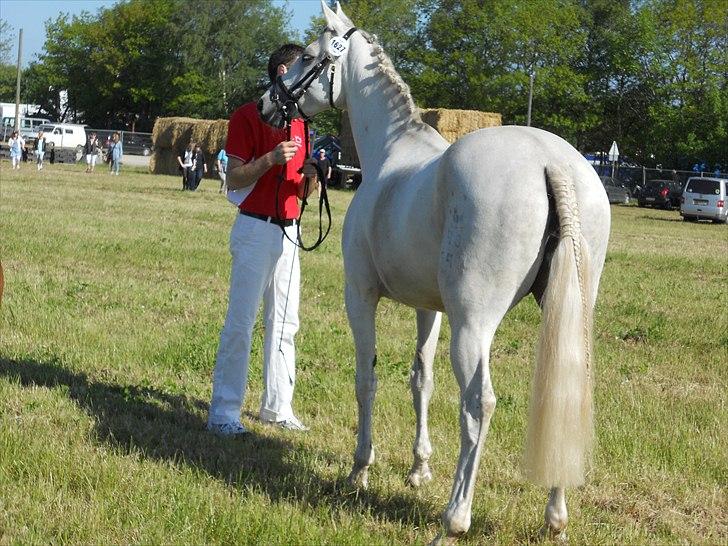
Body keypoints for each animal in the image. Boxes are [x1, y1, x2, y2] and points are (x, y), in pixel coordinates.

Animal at [258, 3, 612, 540]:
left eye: (309, 57)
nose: (266, 104)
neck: (392, 153)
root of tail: (552, 163)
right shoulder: (430, 307)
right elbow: (420, 378)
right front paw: (418, 468)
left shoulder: (360, 294)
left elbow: (367, 378)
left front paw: (360, 470)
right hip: (564, 311)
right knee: (566, 392)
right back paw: (556, 518)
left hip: (474, 324)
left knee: (478, 404)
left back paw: (454, 518)